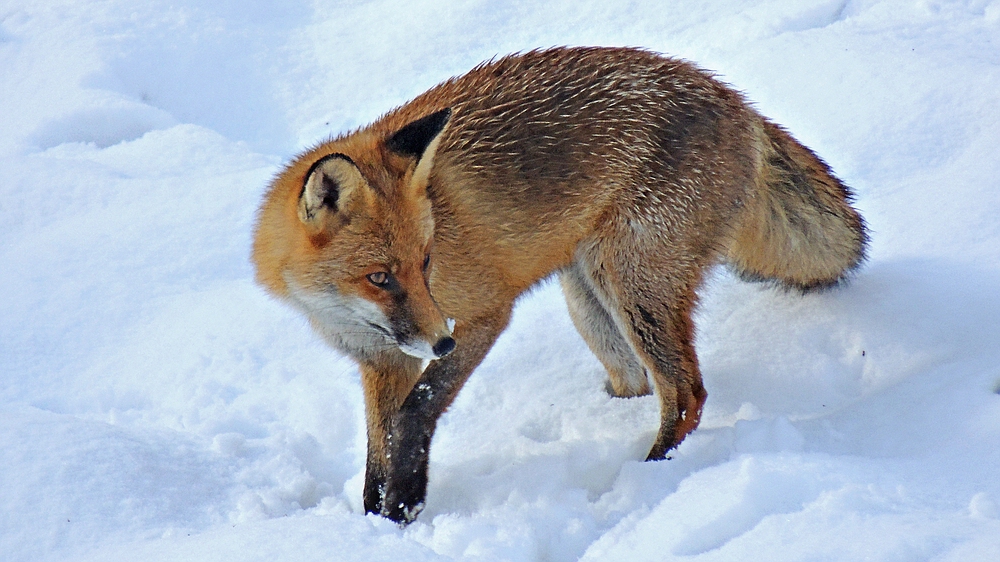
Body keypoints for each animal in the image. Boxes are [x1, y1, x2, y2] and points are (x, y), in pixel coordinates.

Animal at [252, 46, 868, 524]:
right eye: (380, 277)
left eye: (425, 262)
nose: (441, 343)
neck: (339, 311)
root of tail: (738, 101)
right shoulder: (383, 358)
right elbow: (376, 453)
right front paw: (378, 519)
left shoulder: (484, 313)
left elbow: (416, 413)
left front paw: (406, 506)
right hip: (588, 297)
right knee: (637, 384)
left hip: (632, 281)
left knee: (686, 395)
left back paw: (650, 480)